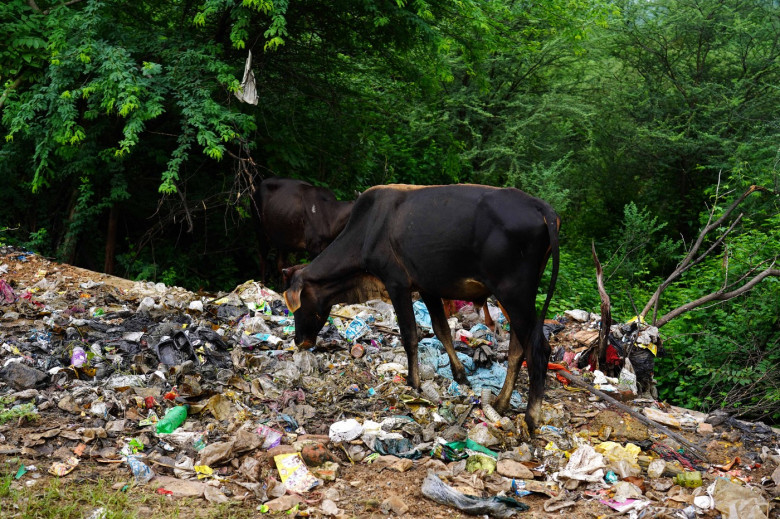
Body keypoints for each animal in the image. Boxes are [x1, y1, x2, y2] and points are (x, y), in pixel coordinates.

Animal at [284, 184, 560, 430]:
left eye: (297, 307)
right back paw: (501, 403)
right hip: (514, 299)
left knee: (538, 350)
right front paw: (460, 375)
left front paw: (413, 382)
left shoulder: (396, 283)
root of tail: (541, 206)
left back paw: (531, 418)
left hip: (514, 295)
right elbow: (442, 330)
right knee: (517, 350)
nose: (299, 341)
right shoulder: (428, 287)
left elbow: (409, 335)